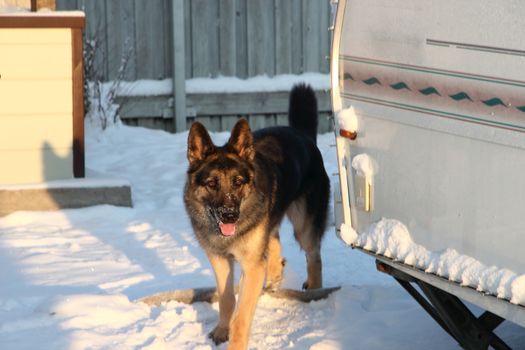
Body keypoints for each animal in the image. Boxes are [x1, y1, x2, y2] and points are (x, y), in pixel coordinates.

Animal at [184, 83, 330, 348]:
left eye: (238, 182)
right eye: (211, 184)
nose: (230, 216)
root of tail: (301, 133)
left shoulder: (251, 267)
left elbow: (241, 317)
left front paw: (236, 343)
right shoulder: (220, 260)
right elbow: (226, 299)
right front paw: (222, 330)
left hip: (304, 227)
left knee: (314, 256)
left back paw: (314, 290)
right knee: (274, 241)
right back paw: (274, 276)